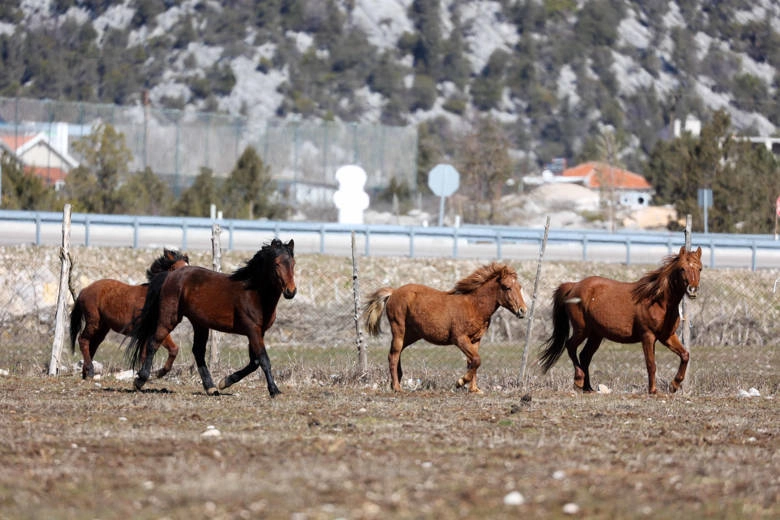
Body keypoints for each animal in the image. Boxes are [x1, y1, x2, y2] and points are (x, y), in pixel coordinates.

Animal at [71, 248, 190, 378]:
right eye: (175, 268)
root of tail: (84, 290)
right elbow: (153, 353)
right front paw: (151, 373)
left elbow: (166, 350)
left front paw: (153, 373)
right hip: (93, 322)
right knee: (83, 340)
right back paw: (90, 370)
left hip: (102, 328)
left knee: (92, 345)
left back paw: (87, 373)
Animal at [126, 238, 298, 396]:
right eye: (276, 263)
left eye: (293, 263)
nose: (291, 291)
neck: (254, 293)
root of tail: (171, 274)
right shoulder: (252, 330)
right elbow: (263, 359)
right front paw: (274, 390)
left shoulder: (258, 332)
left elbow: (254, 362)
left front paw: (225, 382)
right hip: (170, 318)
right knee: (153, 342)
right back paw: (141, 379)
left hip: (200, 323)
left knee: (198, 351)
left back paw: (211, 387)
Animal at [362, 264, 528, 394]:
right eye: (507, 287)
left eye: (520, 287)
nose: (523, 310)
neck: (473, 306)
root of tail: (394, 292)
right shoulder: (460, 339)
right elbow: (476, 360)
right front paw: (460, 382)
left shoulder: (475, 340)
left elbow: (473, 362)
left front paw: (474, 389)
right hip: (399, 330)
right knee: (394, 355)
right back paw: (397, 387)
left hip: (411, 335)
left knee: (395, 353)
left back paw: (395, 382)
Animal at [540, 245, 704, 394]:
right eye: (682, 268)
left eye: (700, 268)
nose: (692, 290)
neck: (657, 301)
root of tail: (573, 286)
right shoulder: (647, 336)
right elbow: (651, 364)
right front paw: (653, 391)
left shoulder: (667, 336)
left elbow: (685, 355)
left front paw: (674, 385)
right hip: (582, 330)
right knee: (570, 346)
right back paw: (579, 380)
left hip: (596, 335)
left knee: (585, 355)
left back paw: (588, 388)